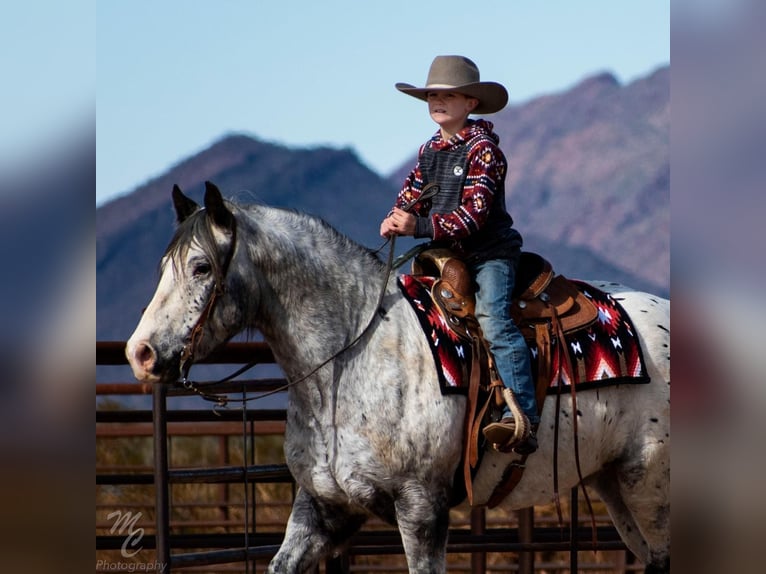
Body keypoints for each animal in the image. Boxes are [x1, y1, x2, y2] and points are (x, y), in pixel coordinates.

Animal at [127, 183, 672, 574]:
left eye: (201, 267)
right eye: (162, 266)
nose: (140, 353)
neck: (347, 360)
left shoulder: (421, 508)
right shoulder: (323, 506)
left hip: (651, 488)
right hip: (617, 486)